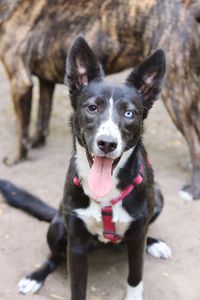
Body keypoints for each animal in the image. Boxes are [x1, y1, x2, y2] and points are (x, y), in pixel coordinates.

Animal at [0, 36, 172, 298]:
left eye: (129, 113)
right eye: (92, 108)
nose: (107, 143)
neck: (106, 195)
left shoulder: (137, 237)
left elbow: (135, 276)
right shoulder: (77, 245)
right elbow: (77, 288)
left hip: (158, 199)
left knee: (141, 235)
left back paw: (153, 243)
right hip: (58, 228)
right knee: (53, 256)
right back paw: (35, 277)